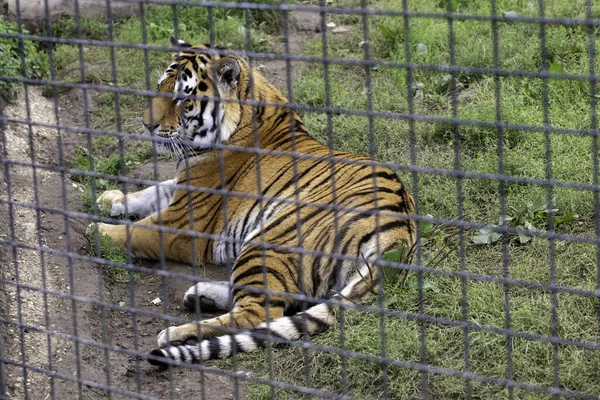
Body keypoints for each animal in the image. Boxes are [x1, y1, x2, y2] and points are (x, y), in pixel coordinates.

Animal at [94, 36, 414, 368]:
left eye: (183, 99)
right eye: (160, 88)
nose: (147, 125)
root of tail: (398, 231)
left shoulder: (183, 222)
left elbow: (135, 230)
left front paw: (94, 230)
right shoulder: (182, 191)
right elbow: (152, 191)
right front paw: (110, 199)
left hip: (270, 238)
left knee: (259, 314)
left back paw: (177, 334)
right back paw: (200, 296)